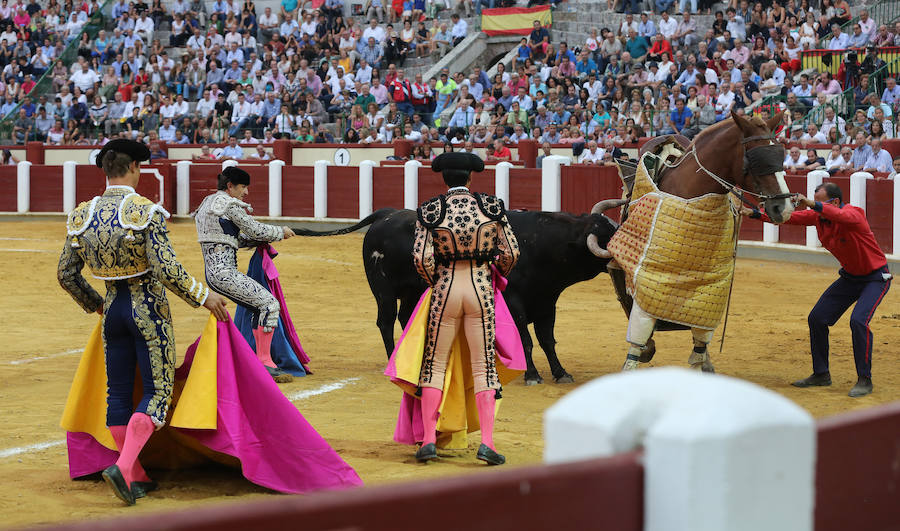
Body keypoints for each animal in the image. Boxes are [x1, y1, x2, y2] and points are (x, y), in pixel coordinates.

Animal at [296, 206, 632, 384]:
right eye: (608, 237)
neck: (544, 244)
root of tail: (386, 215)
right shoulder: (516, 301)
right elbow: (526, 339)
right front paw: (532, 374)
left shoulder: (547, 301)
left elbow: (547, 339)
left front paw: (561, 373)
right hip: (383, 290)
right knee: (385, 321)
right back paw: (395, 359)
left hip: (411, 290)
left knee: (405, 317)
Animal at [596, 110, 792, 372]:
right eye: (755, 158)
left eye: (780, 155)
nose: (785, 207)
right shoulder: (647, 274)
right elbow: (640, 321)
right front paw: (636, 358)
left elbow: (700, 334)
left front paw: (702, 361)